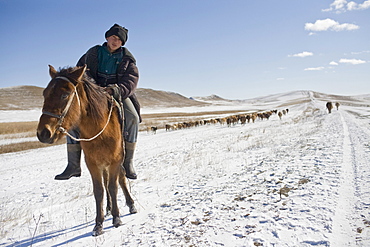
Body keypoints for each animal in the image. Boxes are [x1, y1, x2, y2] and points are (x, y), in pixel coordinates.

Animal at [36, 64, 136, 236]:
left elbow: (114, 186)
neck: (101, 131)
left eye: (65, 95)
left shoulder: (115, 161)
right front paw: (99, 224)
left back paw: (130, 205)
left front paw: (117, 218)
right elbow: (99, 190)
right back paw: (108, 208)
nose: (43, 133)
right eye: (45, 93)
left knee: (121, 178)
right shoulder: (93, 164)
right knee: (106, 182)